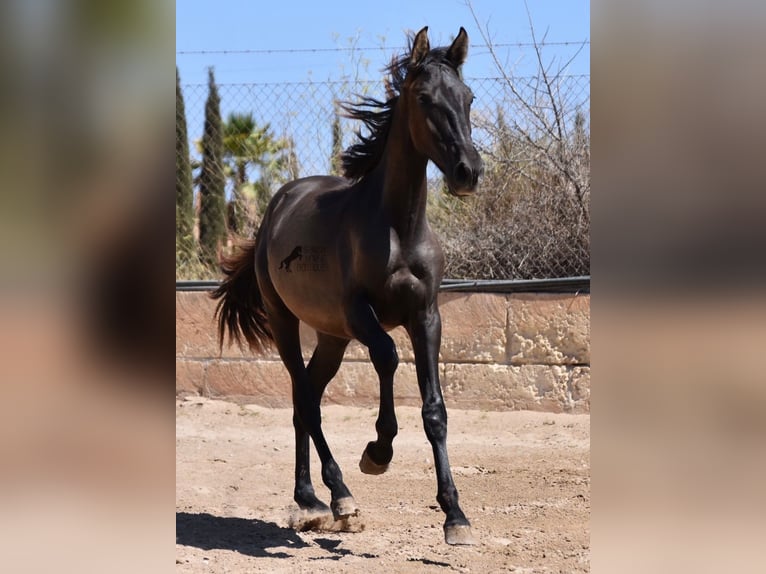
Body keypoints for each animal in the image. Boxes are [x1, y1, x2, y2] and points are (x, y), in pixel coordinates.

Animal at [213, 25, 484, 548]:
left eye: (468, 97)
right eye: (424, 98)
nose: (469, 171)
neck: (398, 227)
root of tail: (276, 208)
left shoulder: (426, 316)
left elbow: (435, 410)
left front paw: (455, 516)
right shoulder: (361, 314)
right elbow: (387, 358)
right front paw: (377, 452)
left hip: (332, 339)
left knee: (305, 400)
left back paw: (315, 499)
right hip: (285, 322)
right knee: (305, 400)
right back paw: (335, 495)